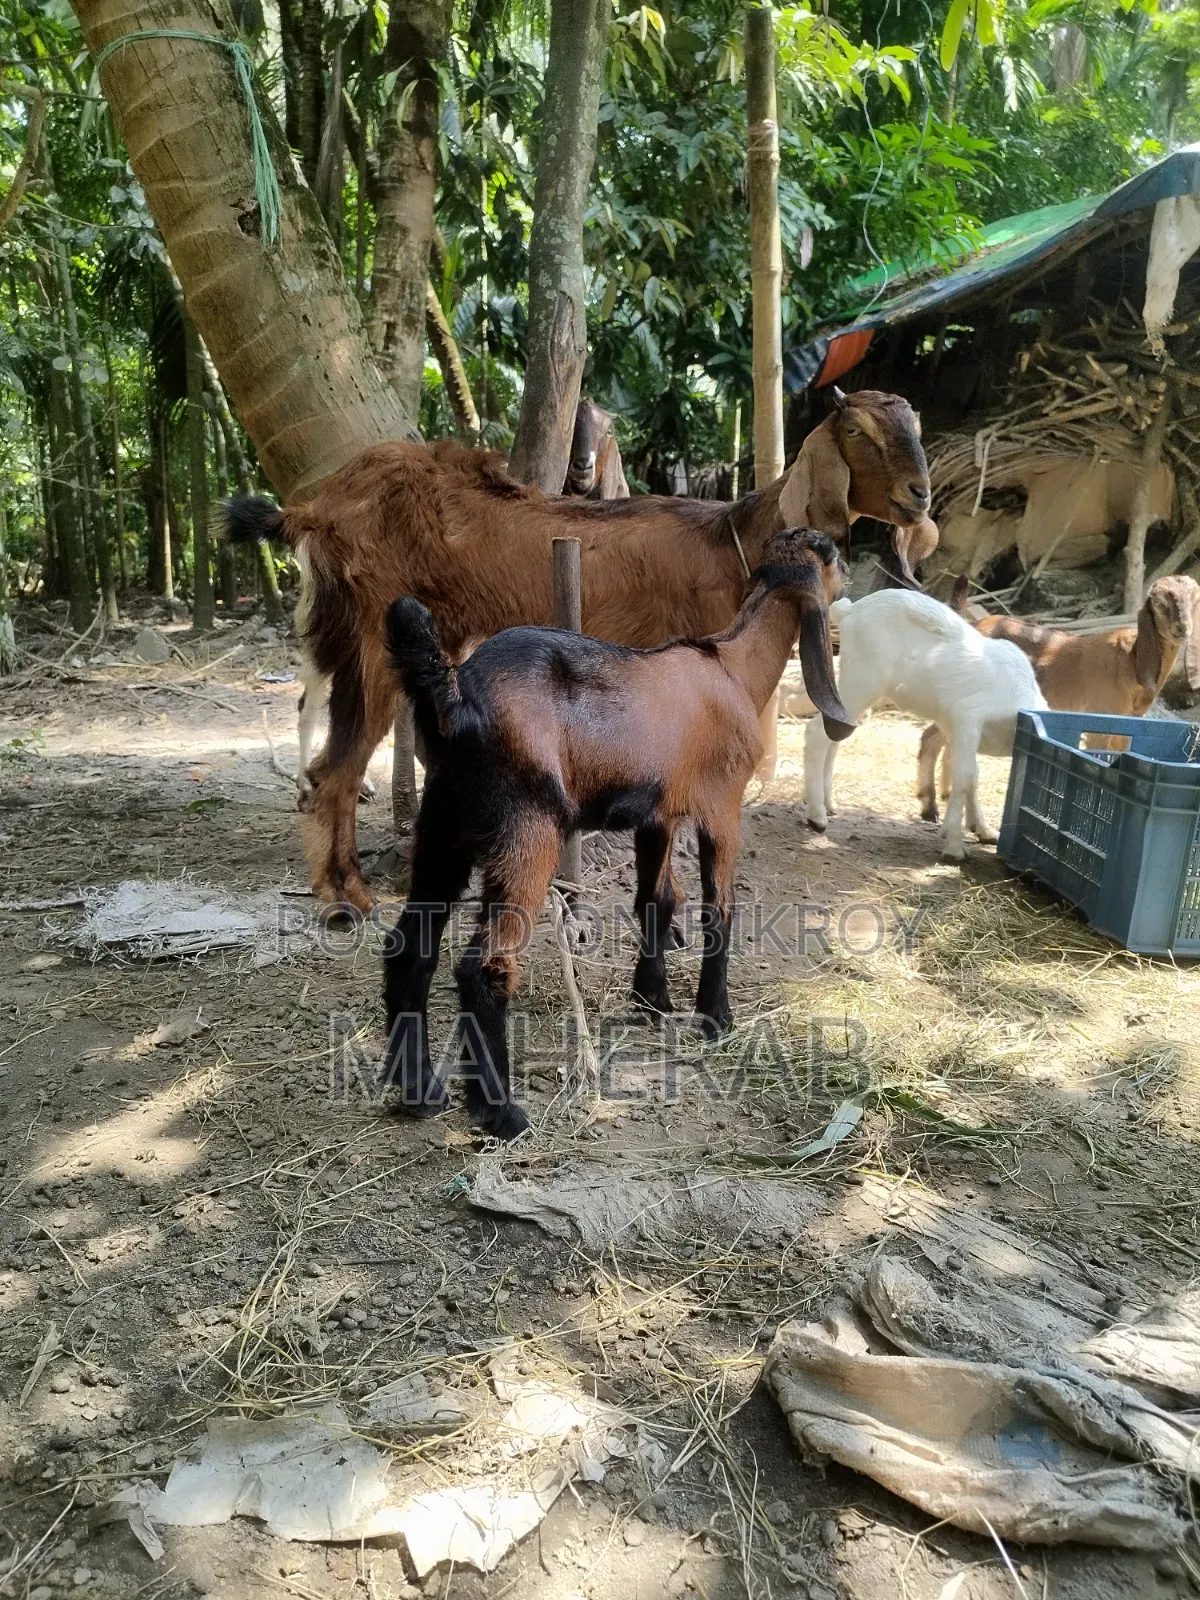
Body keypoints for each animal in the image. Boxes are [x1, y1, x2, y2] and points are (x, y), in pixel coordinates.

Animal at [224, 388, 929, 912]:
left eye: (915, 425)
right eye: (857, 431)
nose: (919, 494)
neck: (728, 539)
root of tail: (314, 508)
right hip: (370, 639)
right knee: (335, 769)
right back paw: (347, 896)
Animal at [379, 528, 851, 1140]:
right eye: (835, 556)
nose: (854, 580)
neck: (734, 669)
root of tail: (455, 695)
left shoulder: (658, 814)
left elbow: (656, 897)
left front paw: (653, 1000)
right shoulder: (722, 806)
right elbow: (718, 908)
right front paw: (715, 1016)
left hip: (444, 820)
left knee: (410, 947)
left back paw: (418, 1088)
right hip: (527, 826)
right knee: (483, 966)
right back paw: (500, 1111)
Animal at [804, 589, 1047, 860]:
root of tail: (849, 611)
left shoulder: (958, 731)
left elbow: (973, 775)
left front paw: (982, 830)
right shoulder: (968, 718)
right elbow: (965, 776)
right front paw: (954, 846)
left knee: (834, 735)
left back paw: (828, 803)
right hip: (862, 680)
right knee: (817, 732)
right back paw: (817, 816)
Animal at [916, 574, 1200, 821]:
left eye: (1194, 598)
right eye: (1159, 602)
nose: (1182, 628)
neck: (1130, 663)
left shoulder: (1129, 726)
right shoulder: (1100, 720)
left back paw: (945, 796)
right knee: (931, 737)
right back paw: (930, 808)